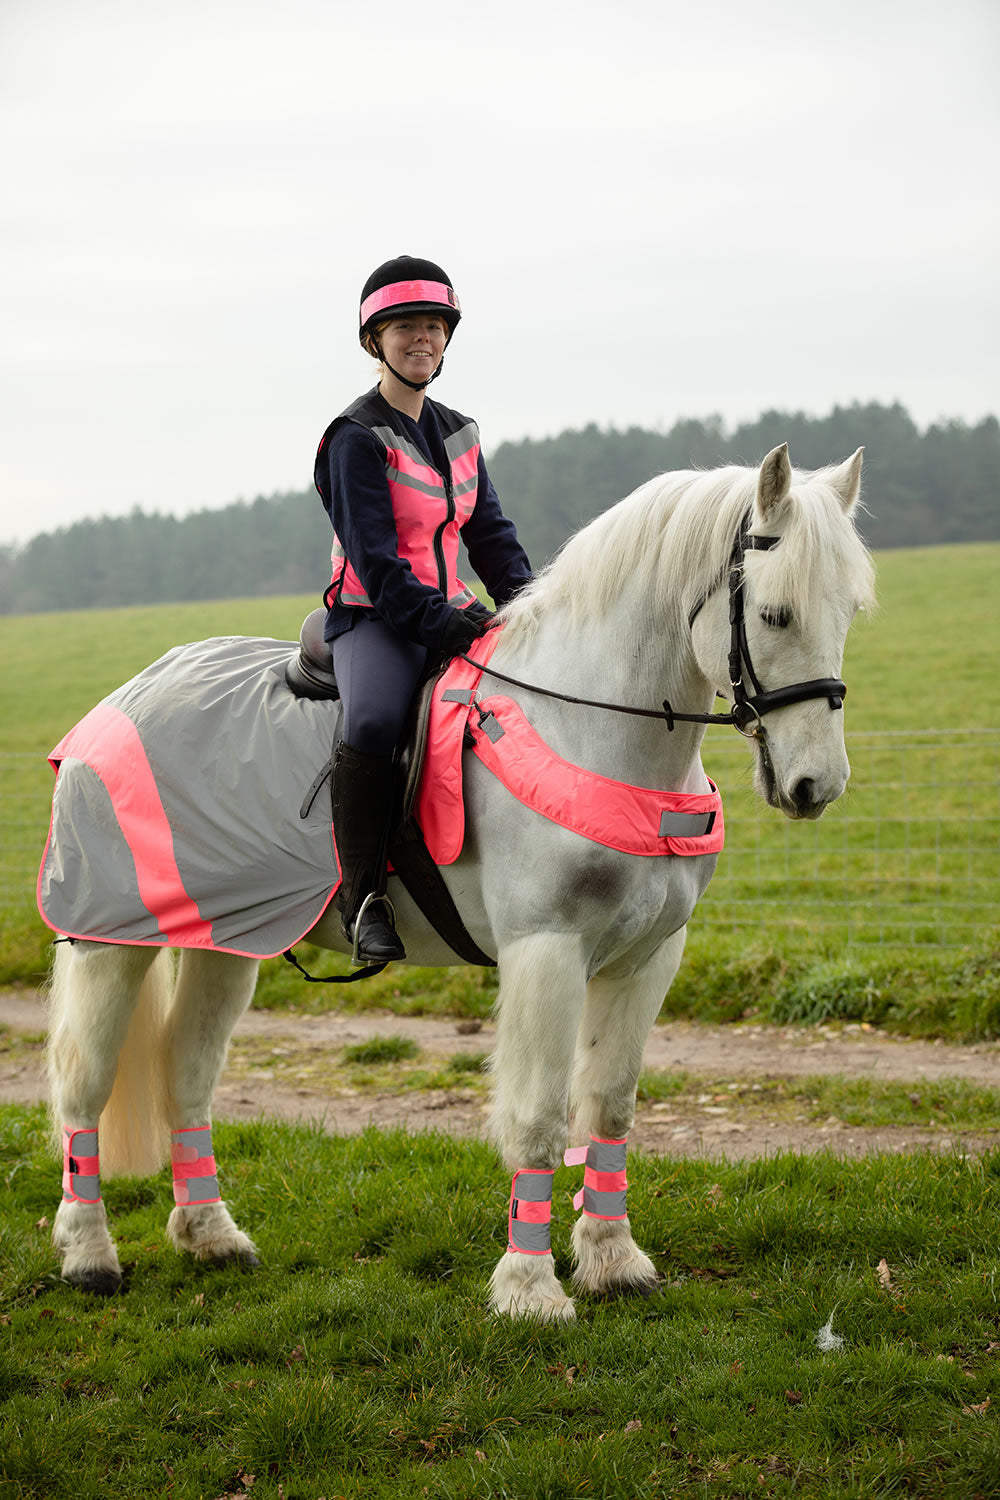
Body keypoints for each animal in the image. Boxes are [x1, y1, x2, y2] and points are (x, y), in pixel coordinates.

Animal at [48, 438, 875, 1320]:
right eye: (776, 614)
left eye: (849, 612)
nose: (817, 785)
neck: (584, 725)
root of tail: (129, 695)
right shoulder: (545, 953)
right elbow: (539, 1119)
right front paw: (531, 1290)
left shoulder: (647, 959)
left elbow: (611, 1104)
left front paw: (614, 1260)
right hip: (110, 943)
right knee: (82, 1086)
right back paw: (89, 1255)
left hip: (225, 945)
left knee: (188, 1073)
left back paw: (210, 1236)